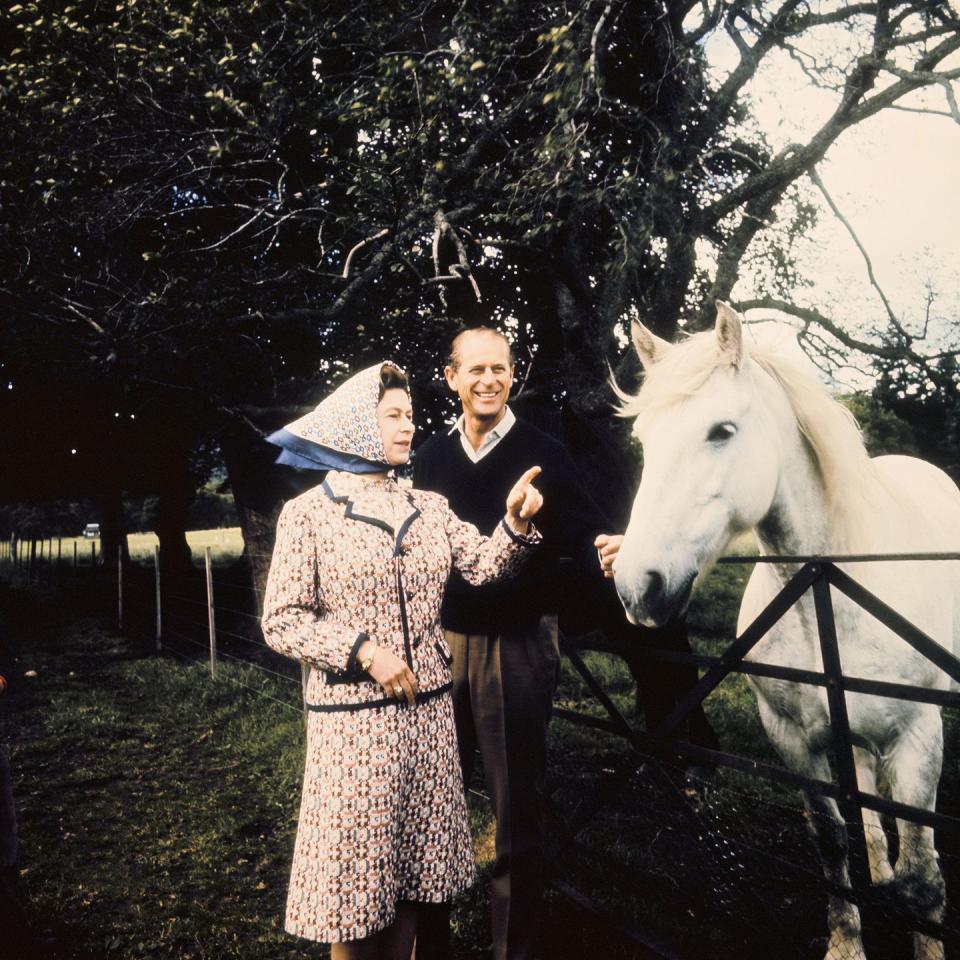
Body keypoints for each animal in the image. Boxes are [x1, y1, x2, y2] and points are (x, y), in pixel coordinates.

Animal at [616, 304, 960, 960]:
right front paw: (846, 943)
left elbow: (925, 877)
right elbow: (830, 843)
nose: (635, 587)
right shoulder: (793, 741)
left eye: (721, 430)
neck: (827, 592)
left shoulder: (917, 739)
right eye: (643, 441)